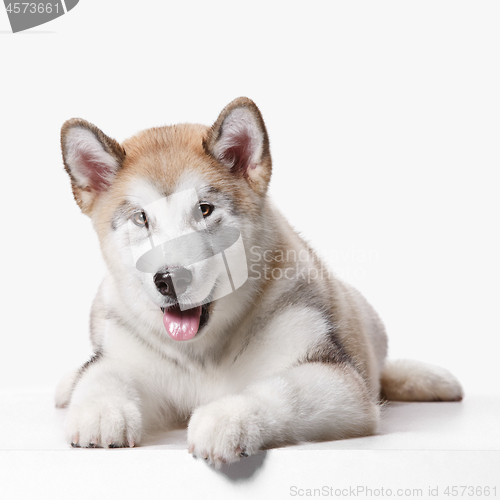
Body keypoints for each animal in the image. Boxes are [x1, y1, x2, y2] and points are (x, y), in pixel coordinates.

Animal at [56, 96, 462, 464]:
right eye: (141, 218)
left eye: (205, 210)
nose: (170, 280)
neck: (203, 352)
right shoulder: (126, 352)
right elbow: (103, 374)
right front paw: (100, 411)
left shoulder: (340, 382)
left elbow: (282, 391)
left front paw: (227, 418)